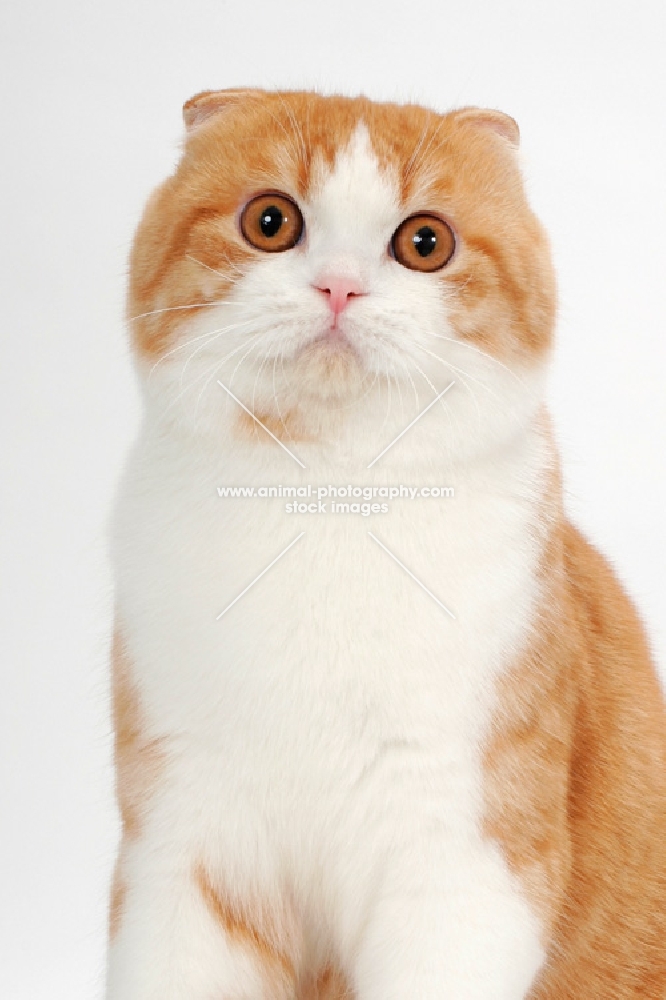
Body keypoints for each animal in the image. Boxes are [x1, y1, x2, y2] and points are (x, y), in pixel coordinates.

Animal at [105, 90, 664, 996]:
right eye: (269, 222)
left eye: (424, 242)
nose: (340, 285)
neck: (327, 497)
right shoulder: (184, 847)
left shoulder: (459, 865)